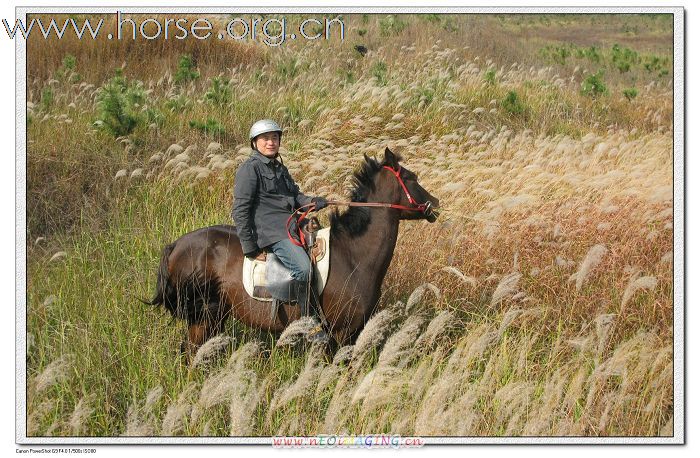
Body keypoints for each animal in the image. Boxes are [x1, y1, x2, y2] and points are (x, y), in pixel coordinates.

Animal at [144, 148, 440, 356]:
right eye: (412, 178)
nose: (435, 203)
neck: (353, 255)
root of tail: (175, 245)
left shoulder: (354, 332)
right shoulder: (340, 333)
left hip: (212, 318)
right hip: (204, 317)